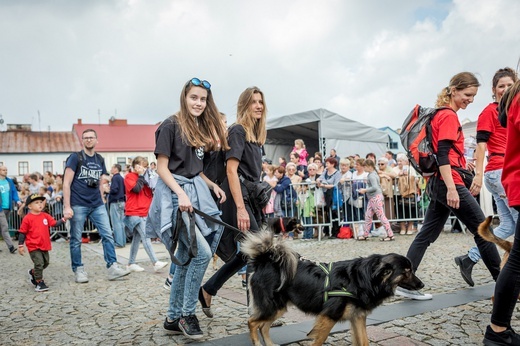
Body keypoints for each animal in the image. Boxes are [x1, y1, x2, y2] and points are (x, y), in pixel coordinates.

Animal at [242, 228, 424, 344]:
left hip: (278, 308)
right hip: (272, 306)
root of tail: (264, 261)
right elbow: (319, 340)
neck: (363, 279)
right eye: (407, 271)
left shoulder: (357, 317)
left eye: (411, 269)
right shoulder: (329, 316)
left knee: (263, 327)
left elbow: (364, 341)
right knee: (252, 323)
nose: (422, 285)